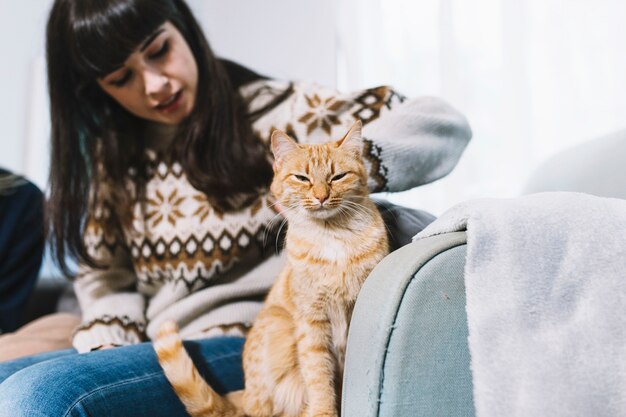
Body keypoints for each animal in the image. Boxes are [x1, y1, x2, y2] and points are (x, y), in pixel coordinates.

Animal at [154, 120, 388, 416]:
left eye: (337, 177)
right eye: (302, 178)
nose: (321, 196)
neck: (332, 236)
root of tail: (244, 397)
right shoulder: (311, 321)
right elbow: (318, 376)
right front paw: (324, 411)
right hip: (279, 325)